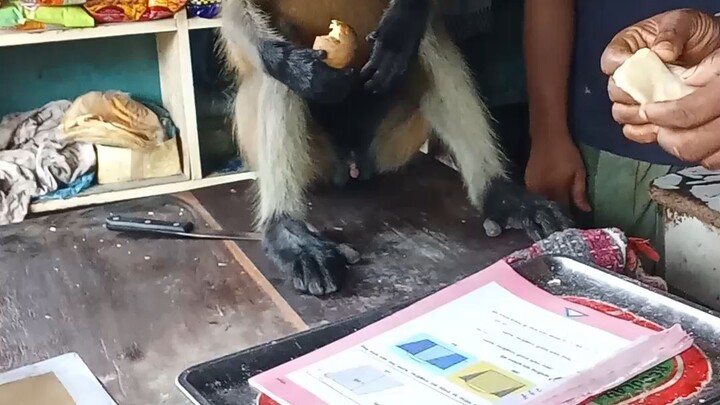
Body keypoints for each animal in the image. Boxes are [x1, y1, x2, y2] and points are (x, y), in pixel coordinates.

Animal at [219, 0, 573, 296]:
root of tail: (352, 160)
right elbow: (237, 14)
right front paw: (292, 66)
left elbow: (414, 29)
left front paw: (405, 18)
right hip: (311, 153)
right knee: (277, 67)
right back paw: (287, 232)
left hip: (395, 137)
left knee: (425, 39)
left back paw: (500, 194)